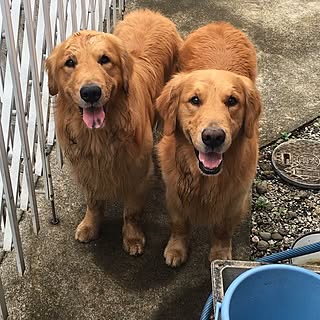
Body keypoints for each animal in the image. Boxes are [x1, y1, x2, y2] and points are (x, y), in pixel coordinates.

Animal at [45, 8, 182, 256]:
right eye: (70, 62)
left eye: (104, 59)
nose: (91, 92)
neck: (99, 135)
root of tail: (152, 12)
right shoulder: (86, 169)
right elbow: (93, 202)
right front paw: (90, 226)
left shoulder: (138, 173)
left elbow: (131, 213)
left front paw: (132, 237)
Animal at [156, 22, 262, 266]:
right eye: (194, 100)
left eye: (232, 101)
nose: (213, 137)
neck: (204, 180)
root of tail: (221, 24)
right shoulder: (174, 192)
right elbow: (179, 224)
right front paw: (176, 248)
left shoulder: (235, 200)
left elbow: (223, 229)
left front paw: (220, 256)